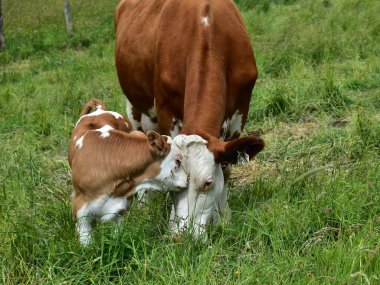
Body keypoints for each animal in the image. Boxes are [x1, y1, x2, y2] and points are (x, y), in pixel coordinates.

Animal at [116, 0, 264, 235]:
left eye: (208, 182)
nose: (181, 237)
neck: (206, 28)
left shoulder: (240, 113)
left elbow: (227, 168)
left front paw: (223, 218)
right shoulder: (167, 112)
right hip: (133, 105)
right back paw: (143, 204)